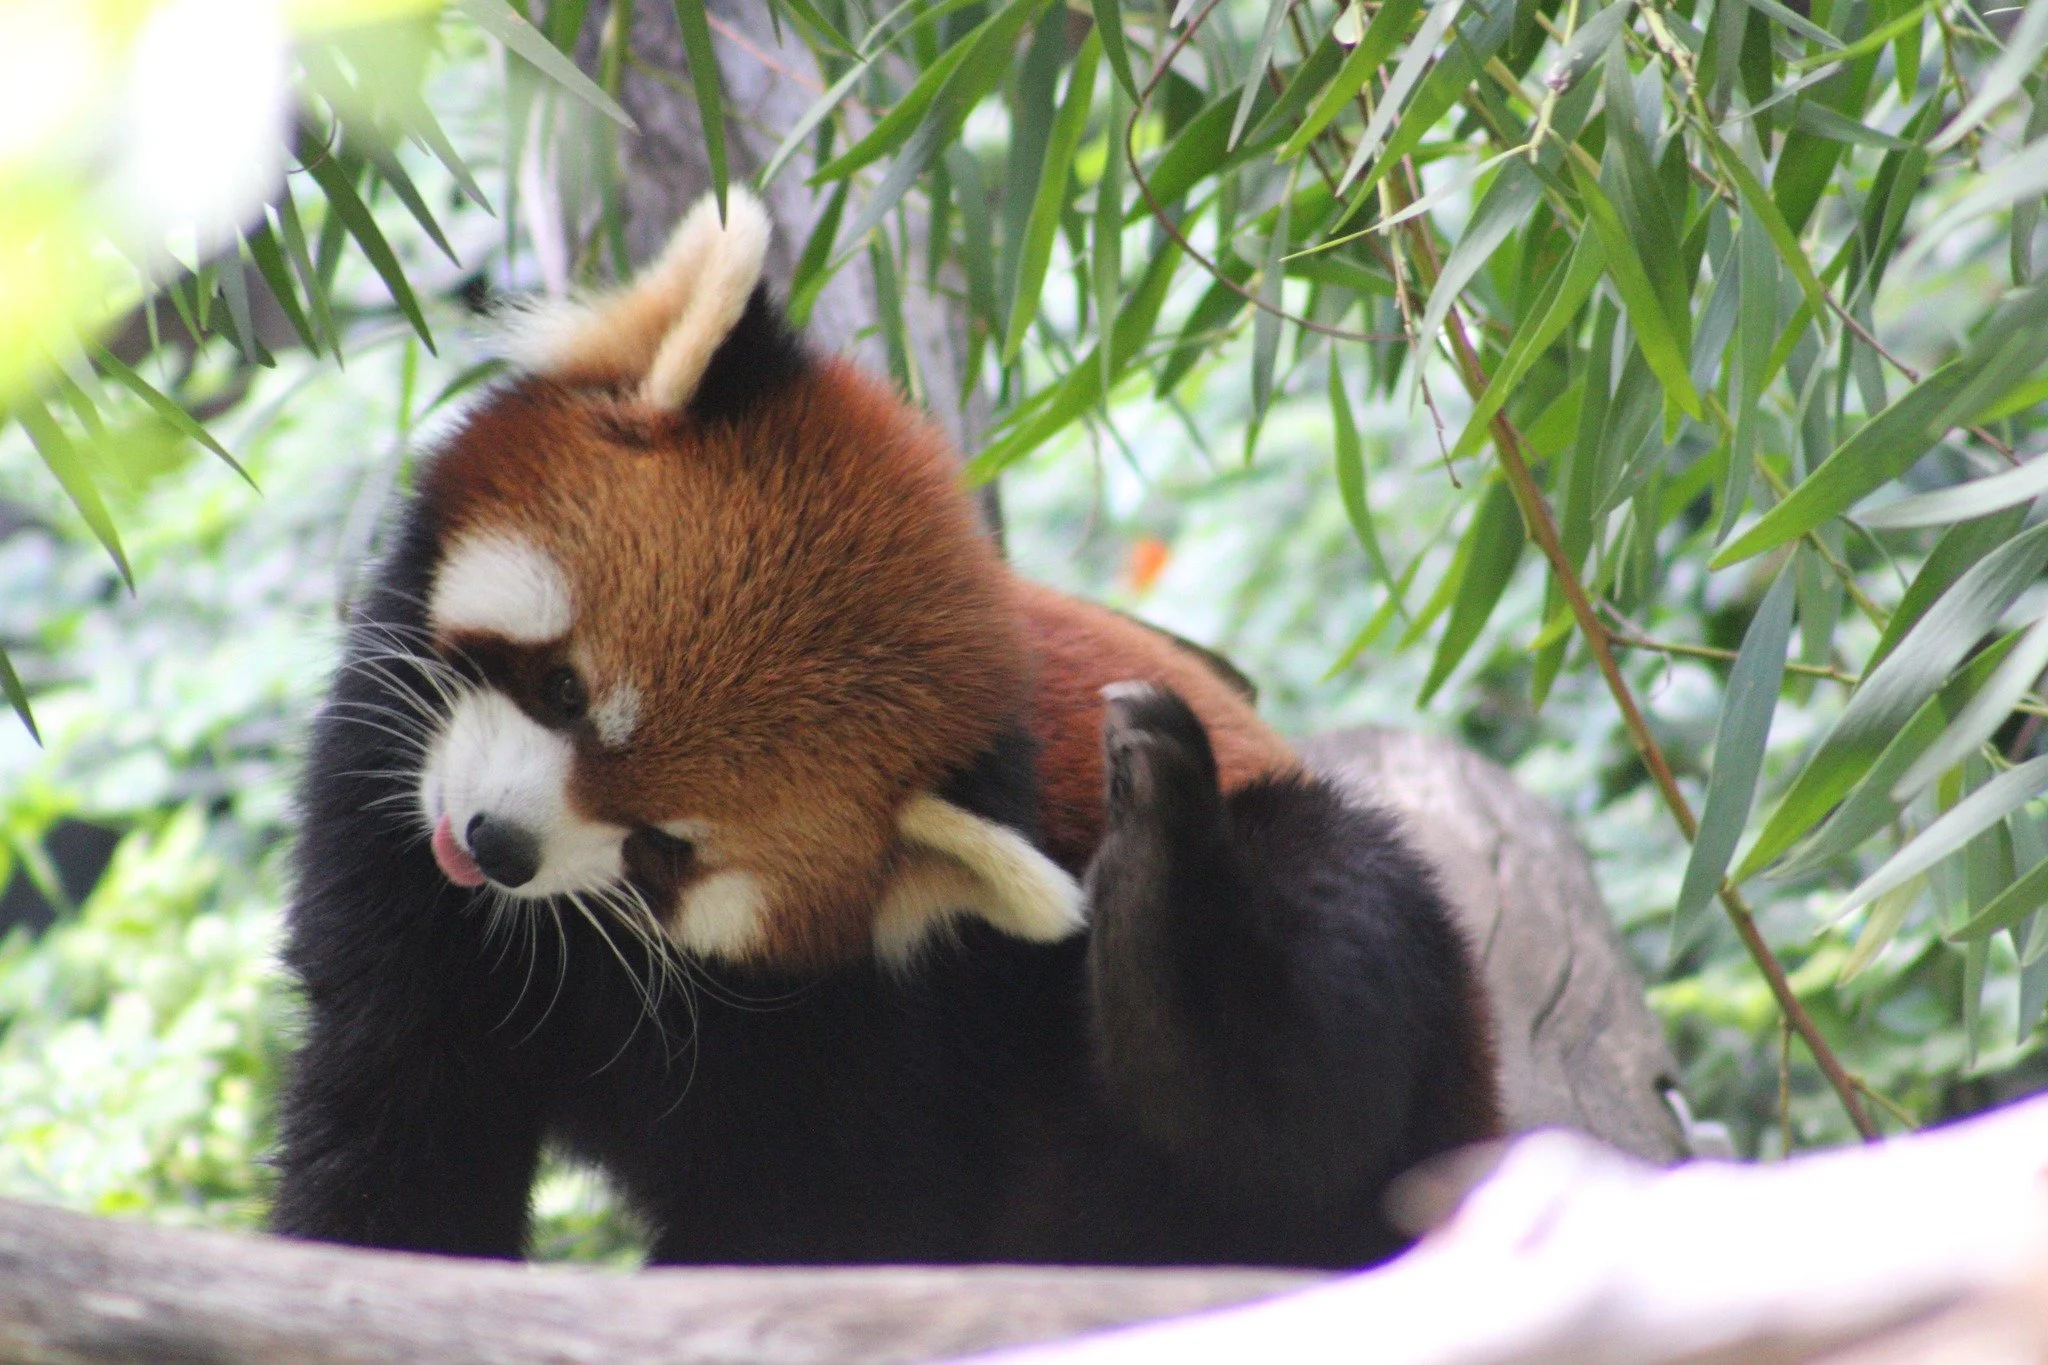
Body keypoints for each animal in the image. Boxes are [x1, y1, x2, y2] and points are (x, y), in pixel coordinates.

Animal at [269, 188, 1500, 1269]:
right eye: (566, 691)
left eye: (665, 848)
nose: (498, 846)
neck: (571, 944)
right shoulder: (393, 879)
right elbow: (396, 1130)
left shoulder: (869, 1036)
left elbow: (827, 1217)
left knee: (1305, 1022)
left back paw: (1158, 879)